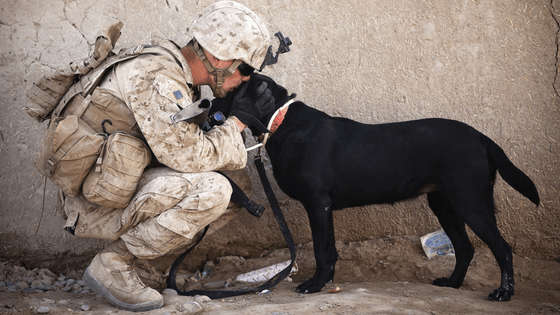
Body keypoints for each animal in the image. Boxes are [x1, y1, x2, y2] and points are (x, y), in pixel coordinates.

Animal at [210, 73, 540, 302]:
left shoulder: (317, 204)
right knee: (465, 248)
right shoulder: (325, 208)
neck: (282, 122)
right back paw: (452, 284)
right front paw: (327, 281)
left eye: (230, 92)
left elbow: (320, 250)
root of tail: (482, 137)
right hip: (444, 204)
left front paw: (314, 285)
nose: (206, 103)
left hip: (470, 201)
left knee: (501, 248)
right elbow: (330, 250)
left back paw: (503, 293)